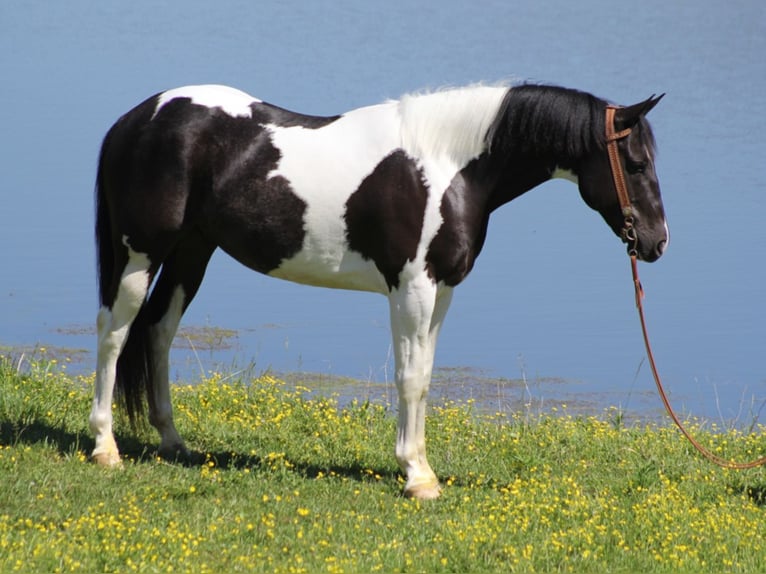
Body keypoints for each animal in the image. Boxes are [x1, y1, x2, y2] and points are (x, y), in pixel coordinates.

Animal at [90, 81, 668, 500]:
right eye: (636, 164)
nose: (657, 242)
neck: (448, 166)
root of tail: (136, 119)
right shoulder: (410, 288)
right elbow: (409, 379)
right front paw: (417, 478)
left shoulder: (441, 290)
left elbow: (427, 377)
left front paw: (422, 469)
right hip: (140, 252)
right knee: (114, 334)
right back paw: (104, 448)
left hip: (192, 251)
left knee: (159, 331)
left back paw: (173, 441)